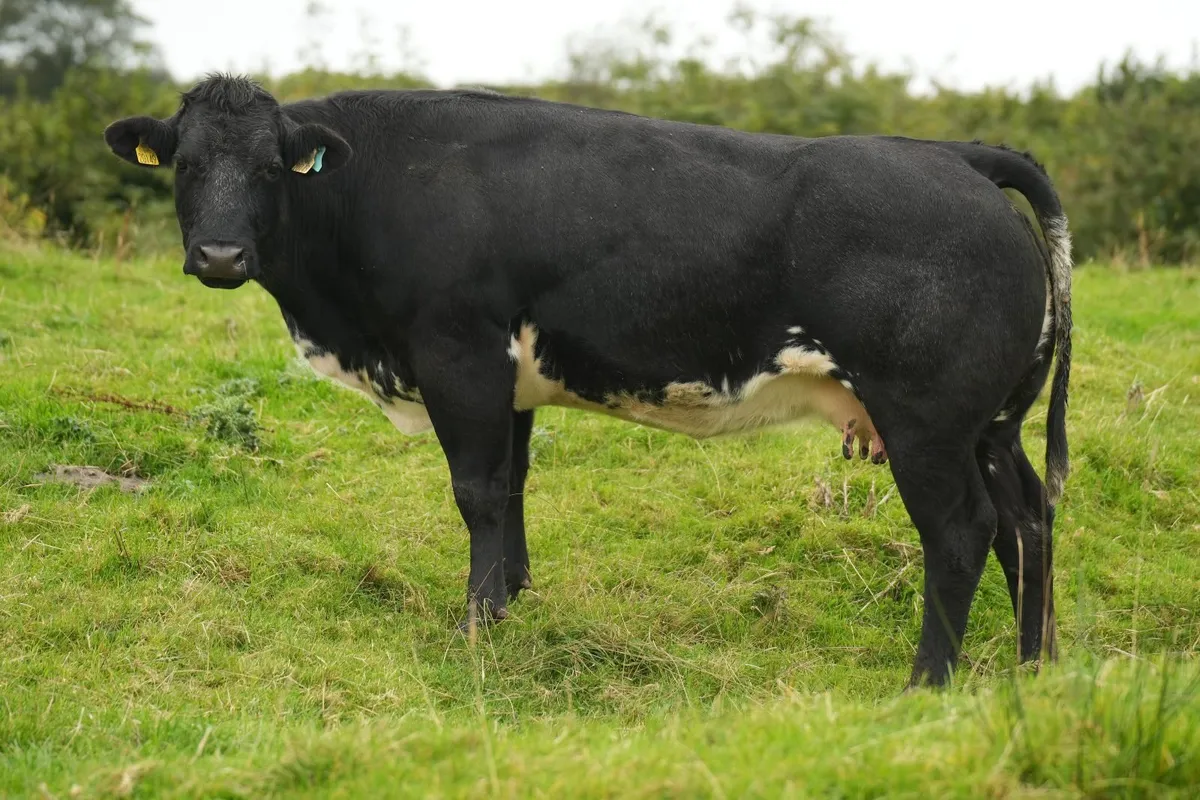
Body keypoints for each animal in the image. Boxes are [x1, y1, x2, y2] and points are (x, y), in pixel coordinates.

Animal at [104, 74, 1071, 688]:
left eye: (273, 168)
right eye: (185, 164)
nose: (219, 255)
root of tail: (954, 155)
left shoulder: (457, 352)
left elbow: (478, 490)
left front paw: (476, 625)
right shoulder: (508, 376)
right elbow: (514, 484)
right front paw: (514, 601)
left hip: (926, 418)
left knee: (962, 531)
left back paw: (927, 680)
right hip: (991, 422)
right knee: (1028, 516)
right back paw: (1035, 665)